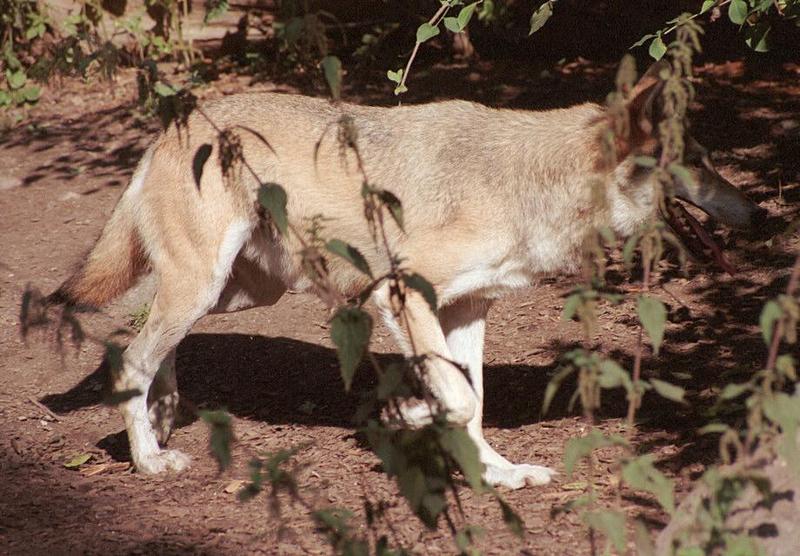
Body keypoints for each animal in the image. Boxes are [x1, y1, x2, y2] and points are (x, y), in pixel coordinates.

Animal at [48, 65, 764, 488]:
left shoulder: (468, 310)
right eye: (700, 160)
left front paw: (493, 474)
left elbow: (475, 400)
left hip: (237, 295)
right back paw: (149, 457)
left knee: (147, 342)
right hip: (206, 286)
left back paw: (164, 414)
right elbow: (458, 398)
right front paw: (413, 413)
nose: (762, 212)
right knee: (131, 356)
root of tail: (170, 127)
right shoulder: (397, 293)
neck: (534, 184)